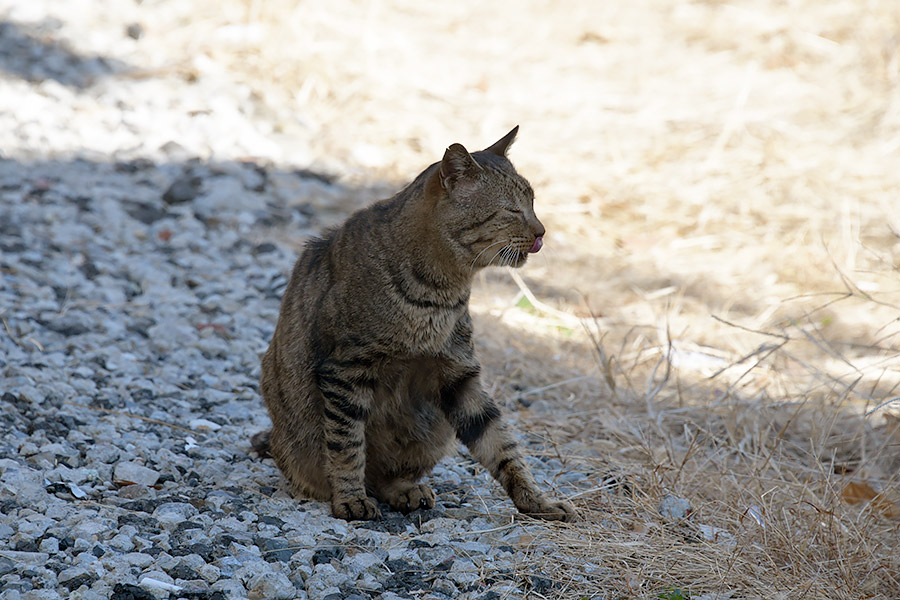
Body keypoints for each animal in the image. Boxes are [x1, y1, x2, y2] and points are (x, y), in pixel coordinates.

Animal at [253, 126, 576, 520]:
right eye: (512, 210)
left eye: (533, 202)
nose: (542, 231)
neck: (442, 292)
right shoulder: (346, 368)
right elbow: (346, 442)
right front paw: (349, 498)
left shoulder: (459, 373)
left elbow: (501, 443)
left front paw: (536, 500)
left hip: (433, 429)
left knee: (390, 475)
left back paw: (405, 490)